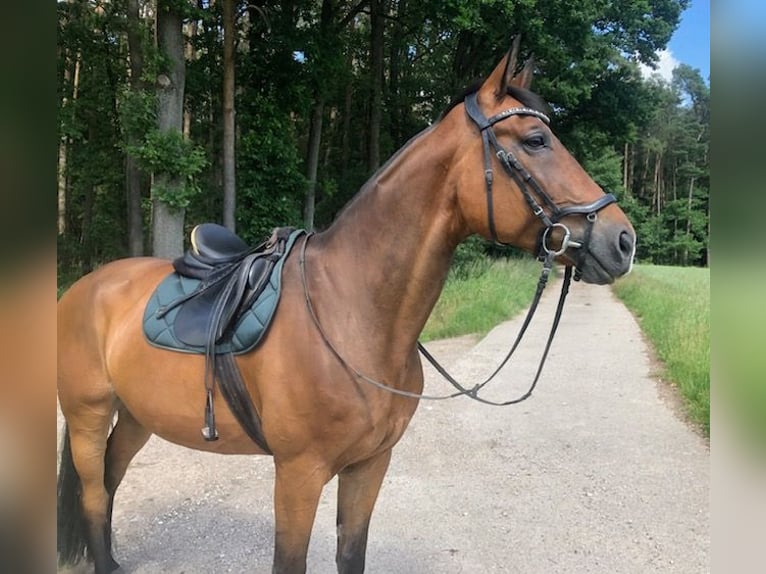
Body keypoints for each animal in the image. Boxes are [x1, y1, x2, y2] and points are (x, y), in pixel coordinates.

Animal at [58, 48, 636, 574]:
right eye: (536, 141)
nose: (623, 241)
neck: (353, 313)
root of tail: (83, 288)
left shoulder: (369, 466)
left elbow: (351, 553)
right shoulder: (299, 474)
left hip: (136, 416)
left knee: (108, 482)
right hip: (89, 415)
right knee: (93, 495)